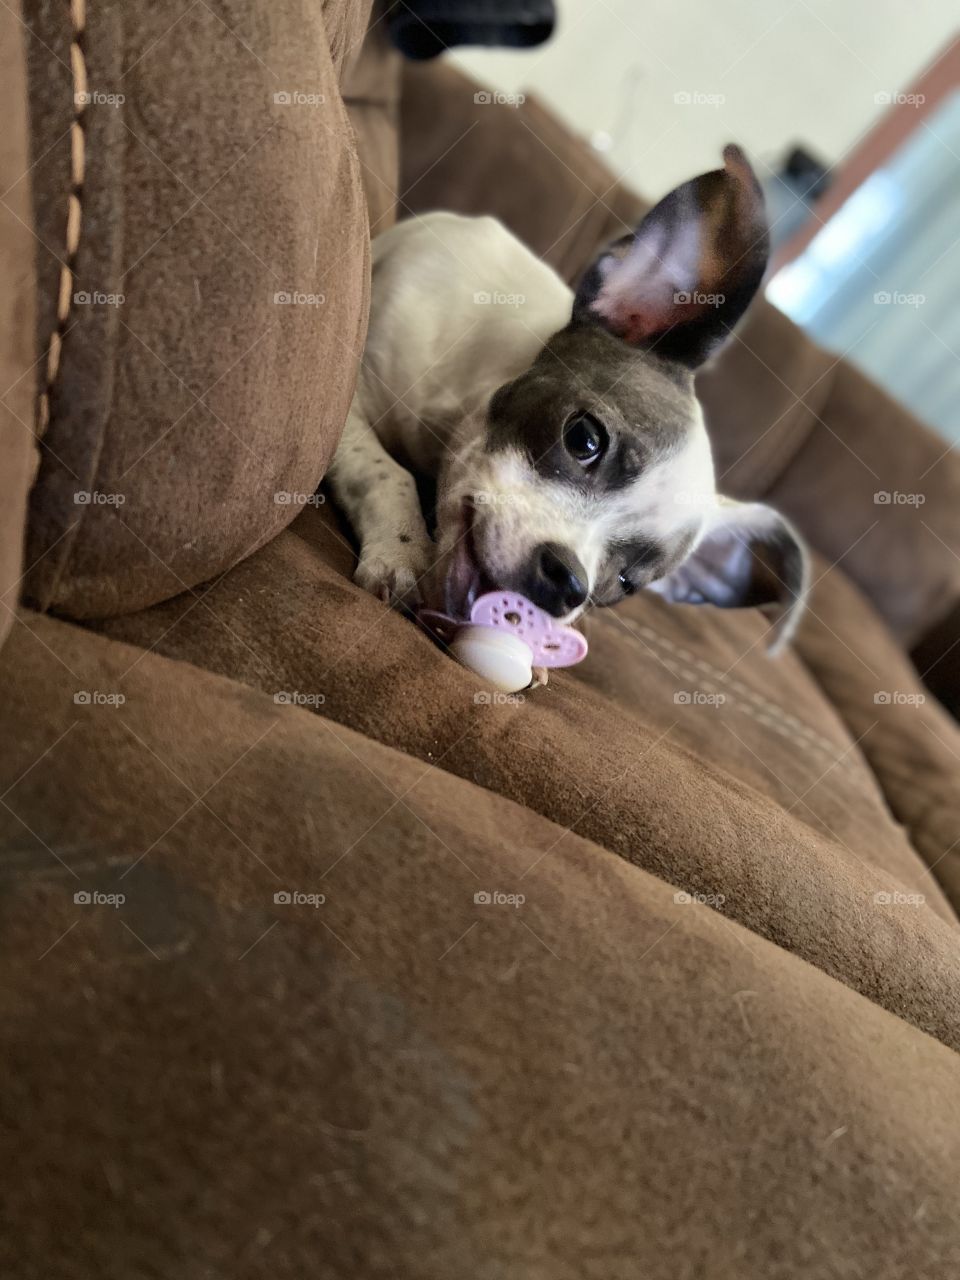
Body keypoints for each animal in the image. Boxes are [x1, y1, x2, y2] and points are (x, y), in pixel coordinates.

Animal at [330, 145, 814, 655]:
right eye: (583, 438)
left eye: (626, 582)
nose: (569, 583)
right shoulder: (353, 395)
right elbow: (387, 473)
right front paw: (401, 549)